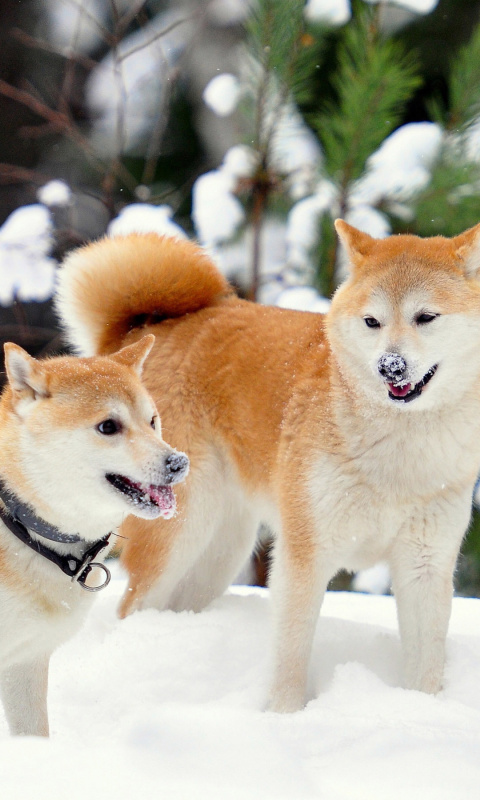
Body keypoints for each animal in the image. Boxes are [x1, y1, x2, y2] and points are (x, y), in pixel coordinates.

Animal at [56, 220, 480, 712]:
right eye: (372, 321)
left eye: (426, 317)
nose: (389, 366)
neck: (398, 453)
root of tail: (144, 331)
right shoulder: (305, 555)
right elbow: (291, 655)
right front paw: (285, 716)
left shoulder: (425, 565)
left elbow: (426, 666)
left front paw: (421, 710)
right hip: (179, 536)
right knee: (131, 607)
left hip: (220, 553)